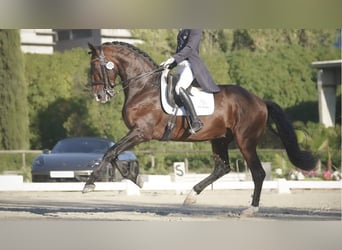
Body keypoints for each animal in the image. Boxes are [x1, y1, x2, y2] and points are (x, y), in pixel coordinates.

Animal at [83, 41, 316, 217]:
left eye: (95, 67)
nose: (99, 96)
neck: (144, 87)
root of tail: (259, 100)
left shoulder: (141, 132)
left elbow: (110, 152)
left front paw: (90, 184)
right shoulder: (136, 133)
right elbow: (113, 153)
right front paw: (134, 178)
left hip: (245, 141)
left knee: (257, 173)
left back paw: (250, 209)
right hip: (220, 139)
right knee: (222, 168)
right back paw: (191, 196)